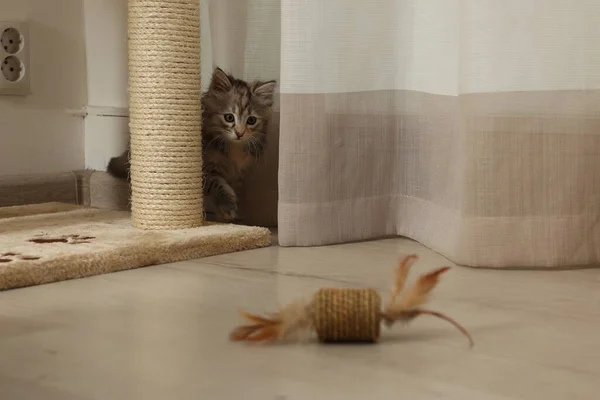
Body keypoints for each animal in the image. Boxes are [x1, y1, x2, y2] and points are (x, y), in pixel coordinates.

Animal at [107, 66, 276, 222]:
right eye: (229, 117)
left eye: (251, 120)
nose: (240, 133)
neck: (234, 148)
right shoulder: (205, 169)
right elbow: (219, 185)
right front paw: (227, 207)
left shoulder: (237, 173)